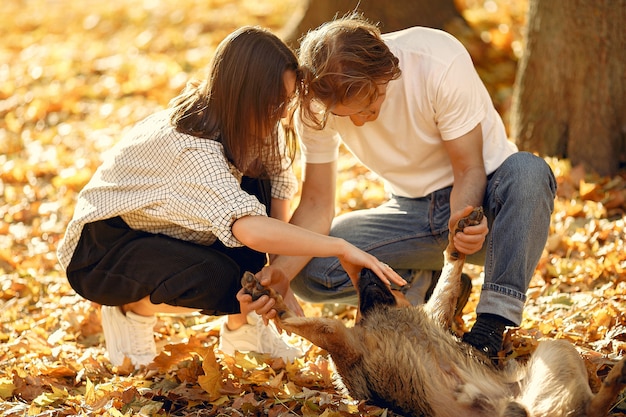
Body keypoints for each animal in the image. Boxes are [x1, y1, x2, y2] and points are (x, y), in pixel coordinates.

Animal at [240, 206, 624, 414]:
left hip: (555, 351)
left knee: (590, 408)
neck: (384, 315)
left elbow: (450, 276)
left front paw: (459, 239)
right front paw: (269, 299)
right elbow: (305, 325)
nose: (362, 268)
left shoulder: (424, 317)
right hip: (555, 354)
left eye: (380, 275)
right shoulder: (346, 343)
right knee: (588, 410)